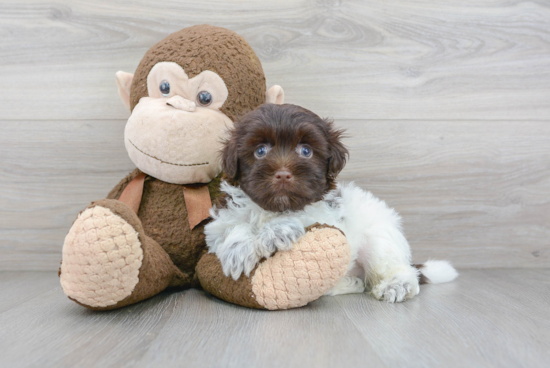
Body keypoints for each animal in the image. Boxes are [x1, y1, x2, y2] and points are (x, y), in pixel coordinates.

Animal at [205, 103, 460, 302]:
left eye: (305, 151)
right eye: (260, 151)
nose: (283, 174)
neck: (274, 208)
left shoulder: (325, 218)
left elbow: (301, 219)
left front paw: (276, 231)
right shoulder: (219, 224)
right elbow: (231, 229)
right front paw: (239, 250)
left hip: (380, 239)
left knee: (399, 269)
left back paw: (396, 285)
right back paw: (350, 283)